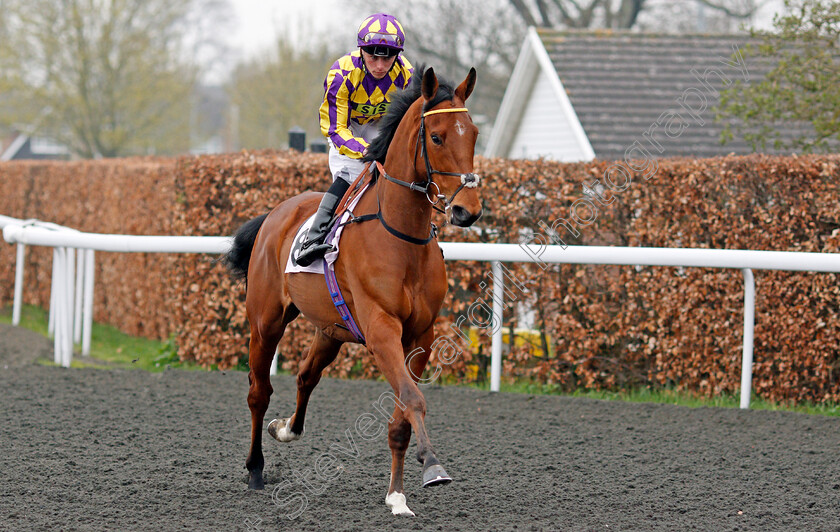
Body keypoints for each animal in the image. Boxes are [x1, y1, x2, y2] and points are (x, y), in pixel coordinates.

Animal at [226, 65, 482, 516]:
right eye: (436, 137)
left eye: (473, 134)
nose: (467, 210)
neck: (401, 237)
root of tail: (275, 213)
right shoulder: (381, 330)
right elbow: (413, 399)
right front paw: (433, 467)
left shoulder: (421, 334)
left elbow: (401, 415)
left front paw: (397, 496)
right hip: (265, 321)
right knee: (259, 392)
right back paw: (255, 469)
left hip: (331, 329)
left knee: (306, 376)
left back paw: (285, 429)